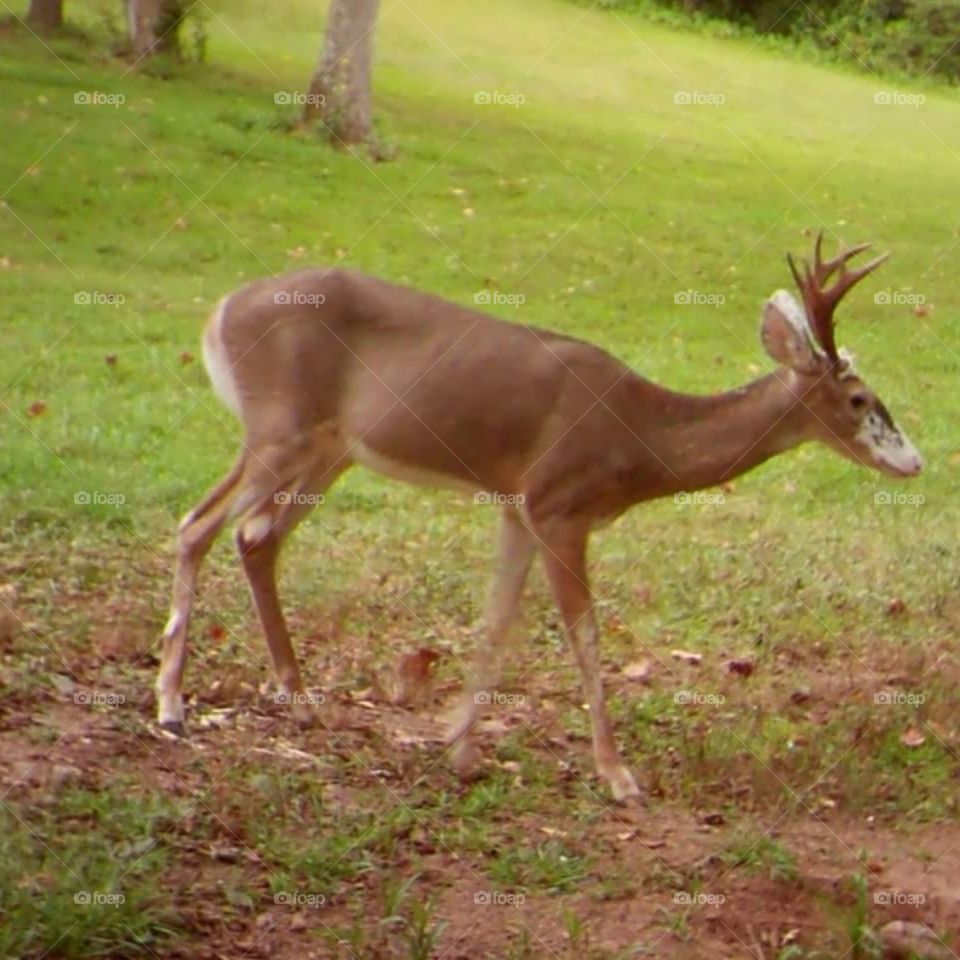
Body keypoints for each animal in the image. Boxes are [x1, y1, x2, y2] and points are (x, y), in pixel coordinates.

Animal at [156, 233, 922, 802]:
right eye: (859, 399)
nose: (914, 460)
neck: (640, 438)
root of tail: (220, 310)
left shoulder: (516, 509)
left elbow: (496, 620)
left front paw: (459, 748)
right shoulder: (558, 505)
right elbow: (584, 636)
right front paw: (619, 776)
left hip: (328, 451)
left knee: (256, 537)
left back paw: (297, 697)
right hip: (279, 430)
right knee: (199, 524)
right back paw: (171, 706)